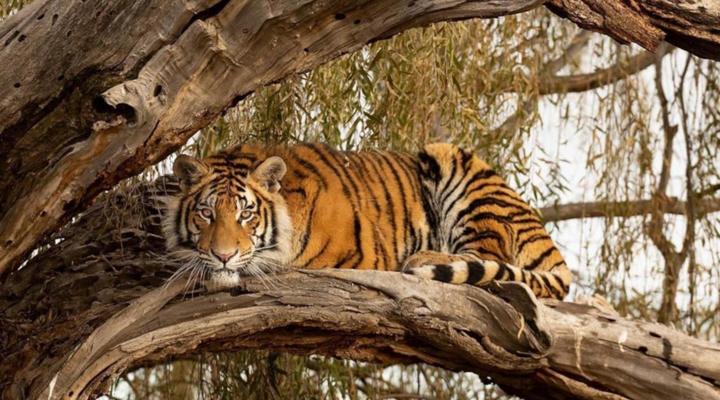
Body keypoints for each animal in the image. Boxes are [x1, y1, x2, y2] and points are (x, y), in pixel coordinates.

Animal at [162, 142, 572, 299]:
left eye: (246, 214)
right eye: (206, 213)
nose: (223, 256)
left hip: (453, 161)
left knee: (488, 256)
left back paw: (423, 259)